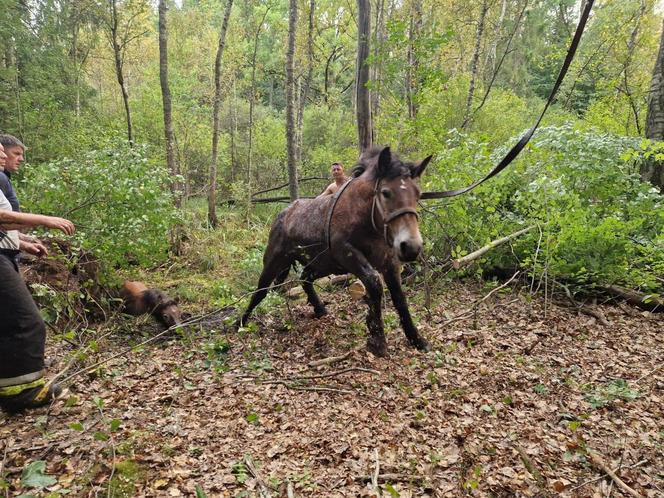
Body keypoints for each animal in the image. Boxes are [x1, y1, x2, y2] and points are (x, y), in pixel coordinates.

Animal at [236, 146, 434, 356]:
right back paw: (239, 323)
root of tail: (282, 215)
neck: (363, 217)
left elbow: (399, 298)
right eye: (386, 192)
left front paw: (417, 340)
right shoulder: (347, 254)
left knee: (305, 278)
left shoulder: (389, 262)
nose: (411, 246)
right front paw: (377, 339)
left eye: (418, 194)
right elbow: (374, 283)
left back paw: (320, 309)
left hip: (323, 264)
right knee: (260, 292)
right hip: (274, 262)